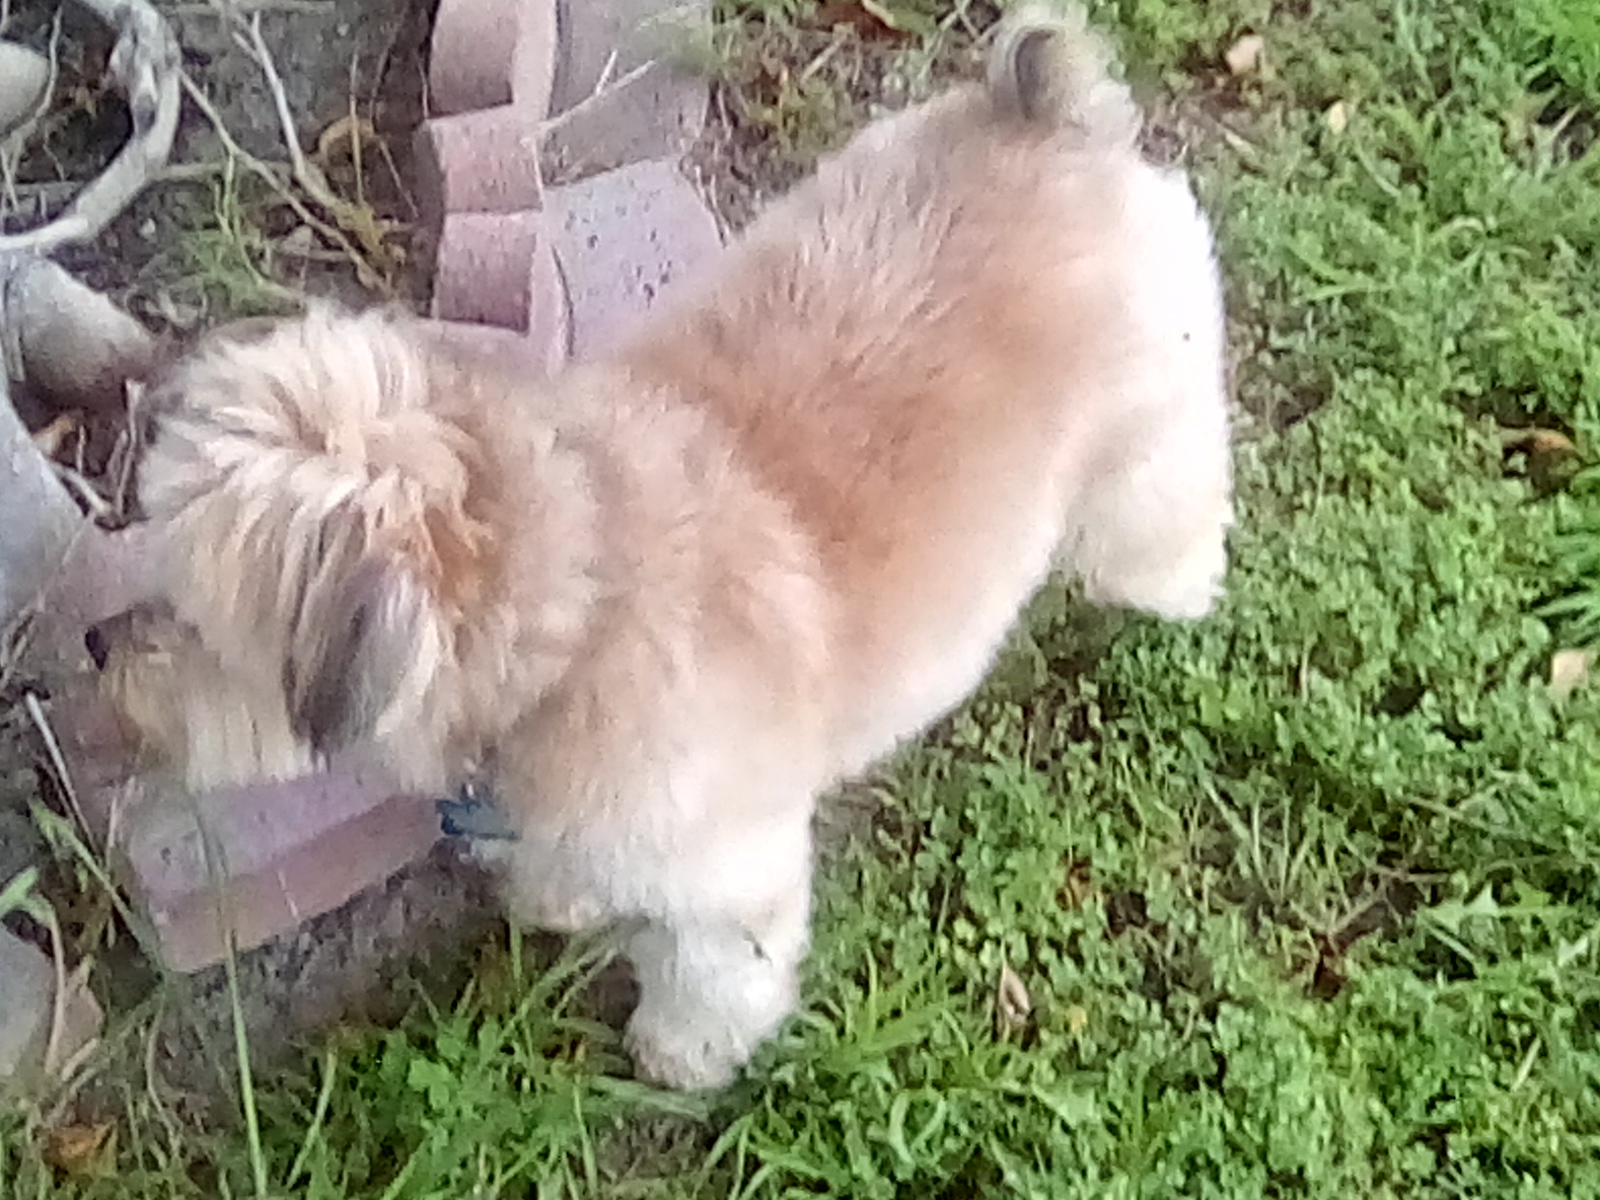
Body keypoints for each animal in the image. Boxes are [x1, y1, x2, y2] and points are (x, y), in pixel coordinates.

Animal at [93, 2, 1228, 1088]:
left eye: (195, 619)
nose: (96, 645)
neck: (584, 597)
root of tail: (1040, 114)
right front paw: (556, 900)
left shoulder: (729, 885)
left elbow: (711, 977)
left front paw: (679, 1054)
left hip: (1146, 455)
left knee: (1169, 520)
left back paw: (1175, 595)